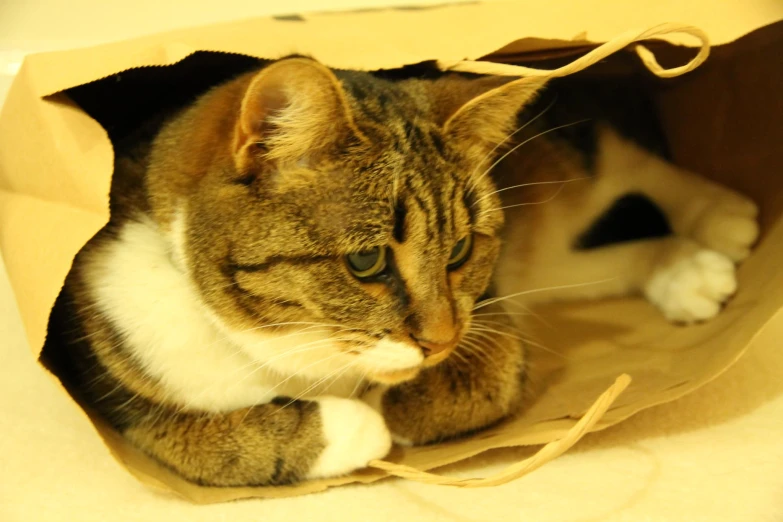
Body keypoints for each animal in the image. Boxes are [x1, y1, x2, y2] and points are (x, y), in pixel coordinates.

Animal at [44, 54, 760, 486]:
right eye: (367, 261)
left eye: (461, 251)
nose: (440, 340)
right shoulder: (121, 385)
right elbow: (211, 445)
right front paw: (356, 423)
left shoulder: (490, 314)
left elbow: (483, 377)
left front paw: (389, 408)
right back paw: (687, 269)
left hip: (566, 167)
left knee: (617, 159)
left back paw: (721, 217)